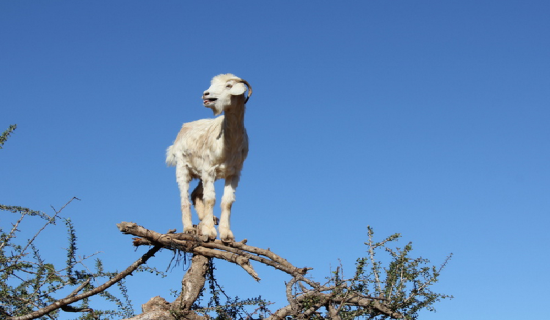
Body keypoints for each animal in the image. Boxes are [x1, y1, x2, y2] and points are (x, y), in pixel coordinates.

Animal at [167, 74, 253, 241]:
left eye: (229, 85)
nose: (206, 94)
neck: (229, 144)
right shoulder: (209, 170)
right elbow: (210, 199)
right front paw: (209, 232)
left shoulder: (233, 173)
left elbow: (227, 201)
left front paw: (227, 235)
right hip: (182, 168)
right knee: (184, 198)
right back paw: (189, 228)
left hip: (201, 174)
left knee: (195, 193)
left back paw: (208, 219)